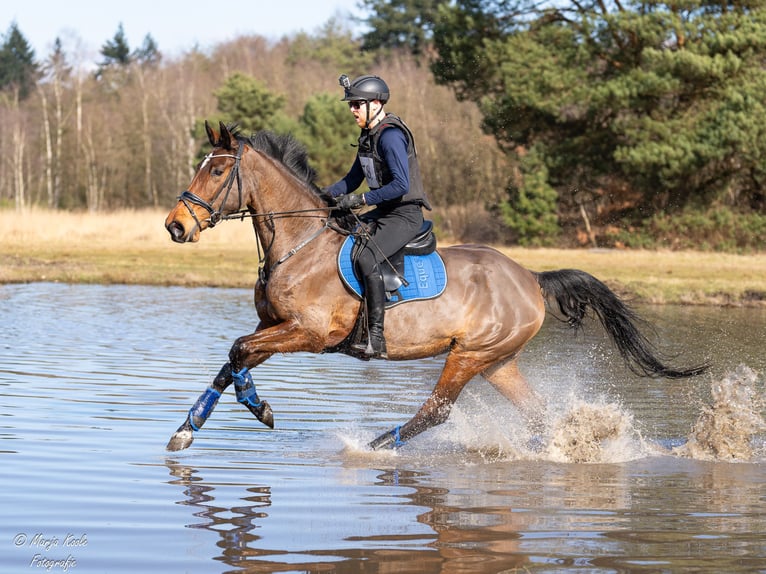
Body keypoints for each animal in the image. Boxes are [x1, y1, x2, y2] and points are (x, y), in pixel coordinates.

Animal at [165, 122, 712, 454]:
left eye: (217, 169)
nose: (175, 226)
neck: (302, 244)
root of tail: (531, 280)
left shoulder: (310, 333)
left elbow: (238, 351)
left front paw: (257, 410)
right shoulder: (273, 325)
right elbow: (233, 358)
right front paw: (190, 430)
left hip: (469, 354)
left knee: (438, 410)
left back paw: (374, 447)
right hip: (498, 362)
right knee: (537, 415)